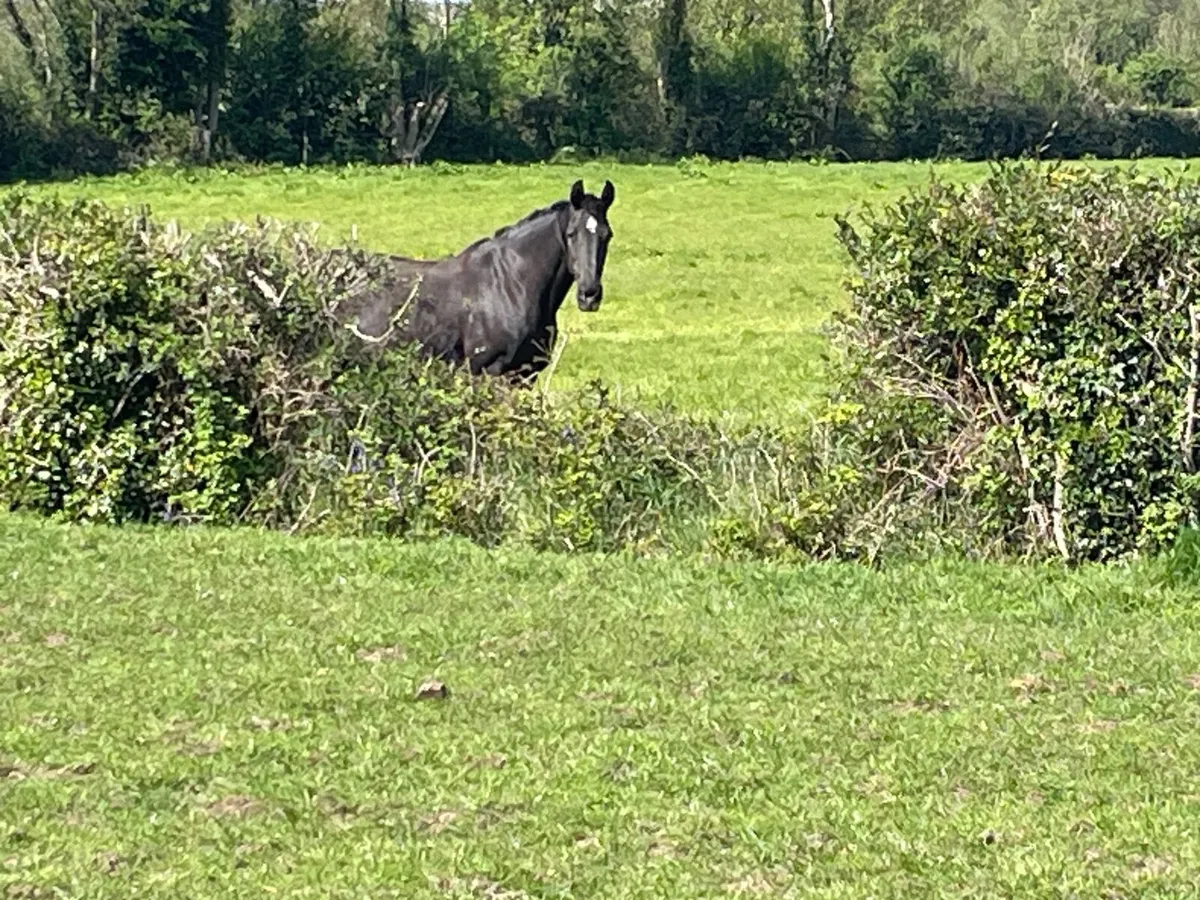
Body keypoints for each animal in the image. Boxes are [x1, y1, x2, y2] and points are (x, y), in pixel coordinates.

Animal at [340, 178, 616, 384]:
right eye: (571, 234)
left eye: (607, 235)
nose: (589, 295)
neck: (511, 284)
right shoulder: (489, 372)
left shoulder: (525, 377)